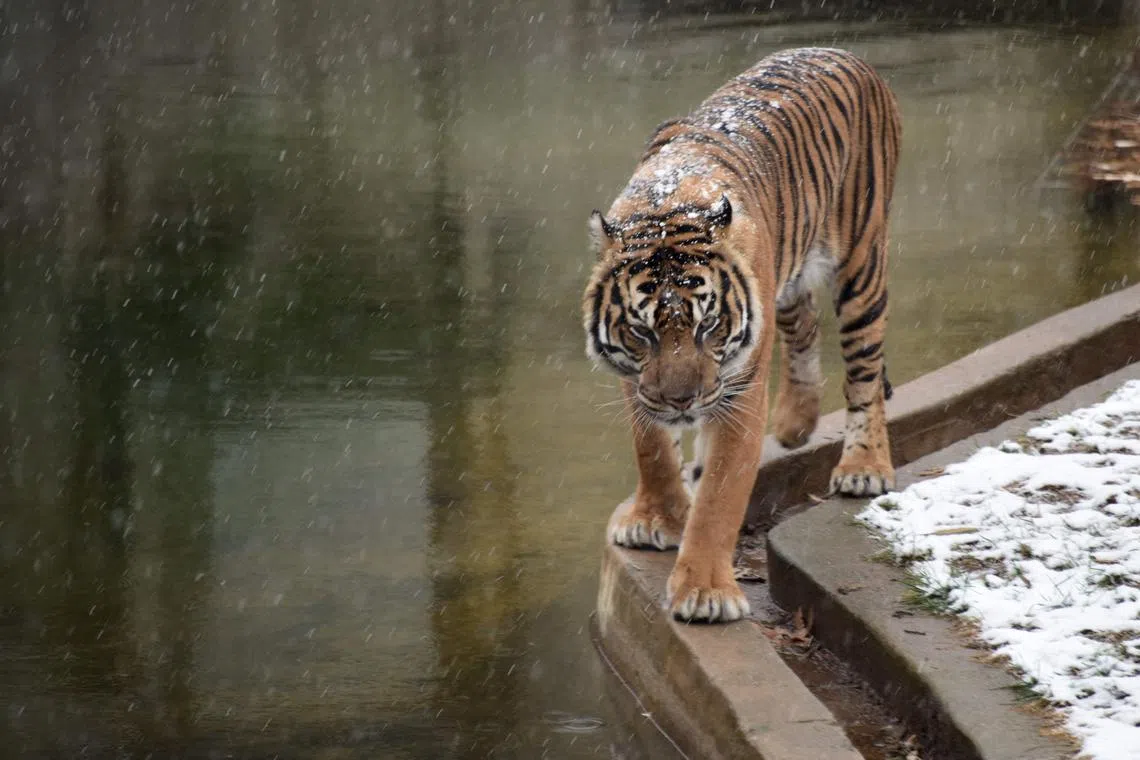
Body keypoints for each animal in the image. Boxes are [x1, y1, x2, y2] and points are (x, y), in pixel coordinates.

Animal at [582, 48, 900, 623]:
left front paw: (704, 592)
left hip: (862, 262)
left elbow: (720, 496)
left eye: (708, 325)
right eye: (641, 332)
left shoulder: (738, 391)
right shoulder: (636, 381)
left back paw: (864, 467)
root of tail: (843, 53)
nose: (682, 400)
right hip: (789, 279)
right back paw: (796, 424)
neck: (666, 204)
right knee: (805, 323)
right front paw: (658, 518)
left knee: (864, 368)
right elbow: (652, 450)